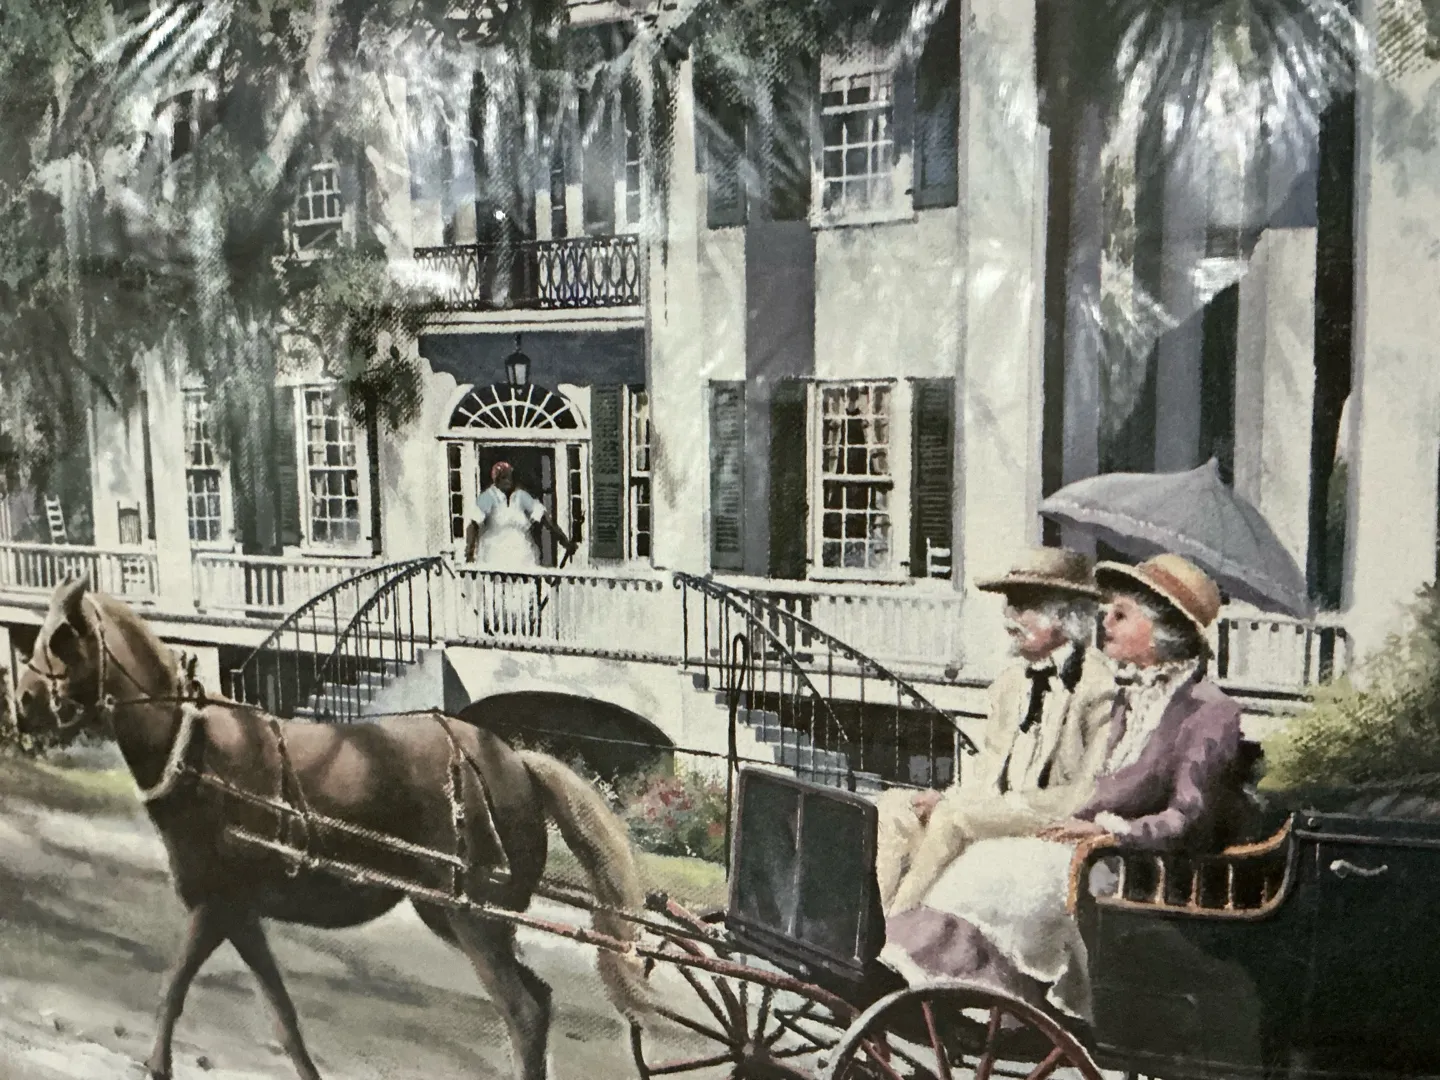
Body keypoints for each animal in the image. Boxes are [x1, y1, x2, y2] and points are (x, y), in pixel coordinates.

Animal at [13, 576, 651, 1080]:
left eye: (62, 636)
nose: (19, 702)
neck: (192, 749)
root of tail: (515, 761)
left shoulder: (215, 905)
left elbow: (172, 991)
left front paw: (157, 1065)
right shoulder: (239, 915)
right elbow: (282, 1016)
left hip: (475, 919)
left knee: (522, 1011)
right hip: (457, 915)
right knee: (538, 1002)